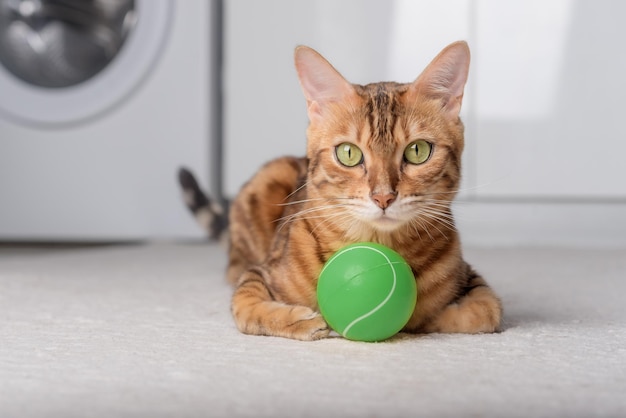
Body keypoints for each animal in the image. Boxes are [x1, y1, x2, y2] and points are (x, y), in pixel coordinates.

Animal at [178, 40, 500, 340]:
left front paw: (424, 318)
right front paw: (302, 320)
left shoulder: (472, 279)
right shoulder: (259, 273)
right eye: (348, 153)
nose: (383, 197)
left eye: (418, 150)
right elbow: (246, 306)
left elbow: (484, 311)